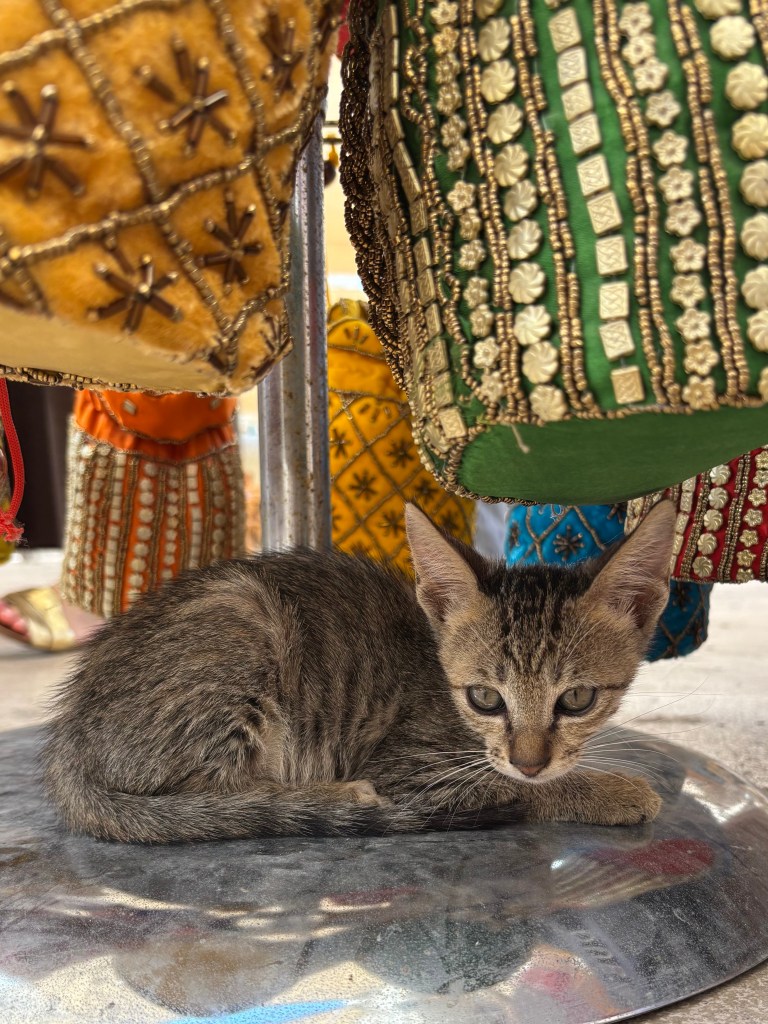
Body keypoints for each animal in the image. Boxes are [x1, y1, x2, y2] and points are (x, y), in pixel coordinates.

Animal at [42, 501, 675, 843]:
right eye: (485, 699)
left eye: (578, 699)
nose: (531, 760)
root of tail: (69, 747)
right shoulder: (410, 769)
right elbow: (507, 785)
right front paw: (611, 790)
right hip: (247, 626)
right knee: (216, 798)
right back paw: (336, 797)